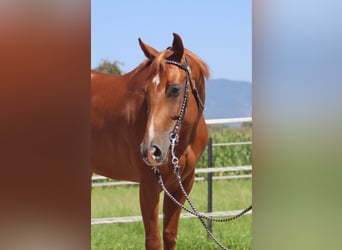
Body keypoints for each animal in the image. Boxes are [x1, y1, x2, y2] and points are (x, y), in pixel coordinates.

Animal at [91, 33, 208, 250]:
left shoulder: (182, 184)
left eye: (175, 89)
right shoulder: (149, 185)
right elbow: (153, 240)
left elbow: (170, 235)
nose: (150, 152)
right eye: (145, 91)